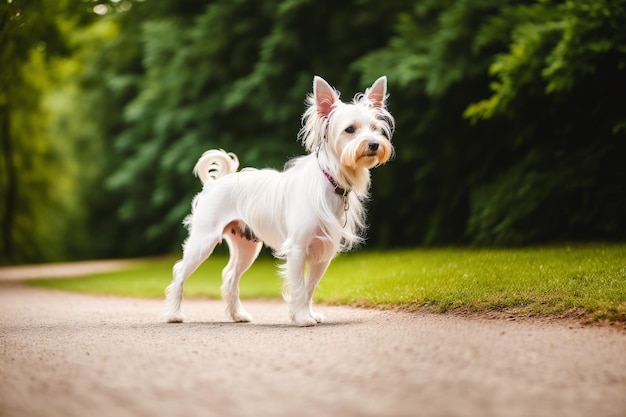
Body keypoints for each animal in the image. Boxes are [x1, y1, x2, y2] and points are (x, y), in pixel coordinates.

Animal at [163, 75, 392, 324]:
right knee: (179, 271)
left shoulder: (323, 254)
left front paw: (307, 313)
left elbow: (309, 288)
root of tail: (215, 182)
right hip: (203, 241)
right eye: (350, 129)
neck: (329, 180)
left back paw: (237, 314)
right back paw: (174, 313)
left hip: (247, 247)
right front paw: (302, 317)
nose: (374, 144)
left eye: (375, 128)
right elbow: (299, 287)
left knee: (230, 275)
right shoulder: (297, 249)